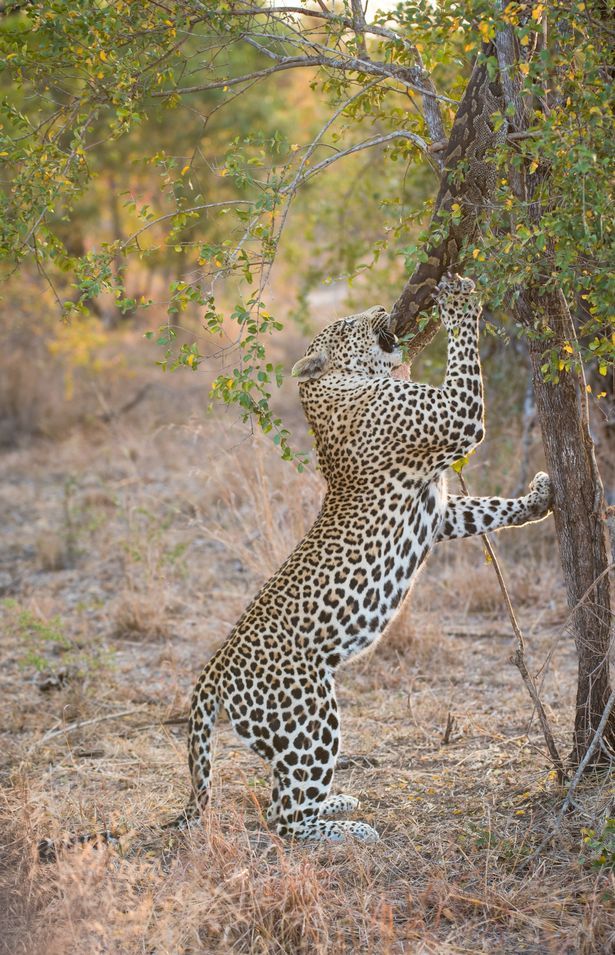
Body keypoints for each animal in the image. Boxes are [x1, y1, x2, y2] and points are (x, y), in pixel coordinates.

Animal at [184, 272, 552, 840]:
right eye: (343, 324)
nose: (383, 306)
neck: (326, 393)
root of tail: (214, 671)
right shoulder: (456, 417)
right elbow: (464, 356)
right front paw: (458, 299)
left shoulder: (440, 513)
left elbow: (488, 511)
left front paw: (539, 497)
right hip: (310, 717)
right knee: (285, 818)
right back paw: (350, 830)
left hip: (289, 733)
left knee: (279, 799)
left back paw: (339, 804)